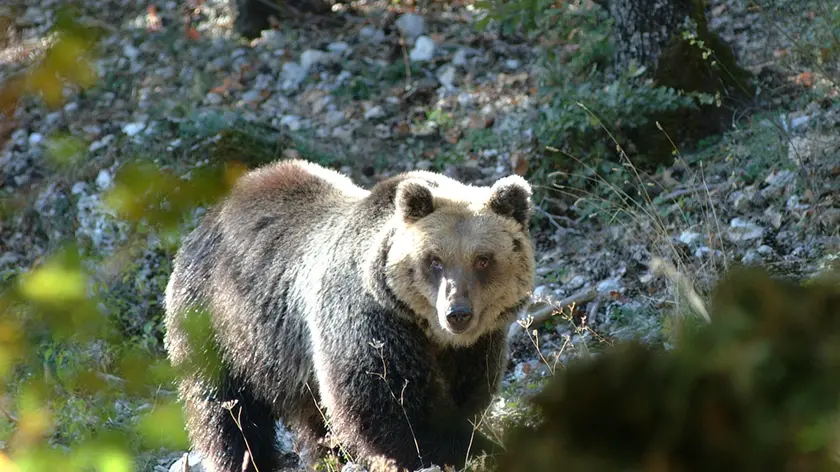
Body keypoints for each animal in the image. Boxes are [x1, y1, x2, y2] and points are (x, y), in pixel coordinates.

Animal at [162, 159, 536, 472]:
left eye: (483, 259)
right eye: (434, 260)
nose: (457, 313)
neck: (426, 330)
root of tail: (210, 216)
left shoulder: (476, 346)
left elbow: (469, 393)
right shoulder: (367, 319)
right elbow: (390, 406)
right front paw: (469, 449)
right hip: (218, 323)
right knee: (224, 409)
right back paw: (246, 460)